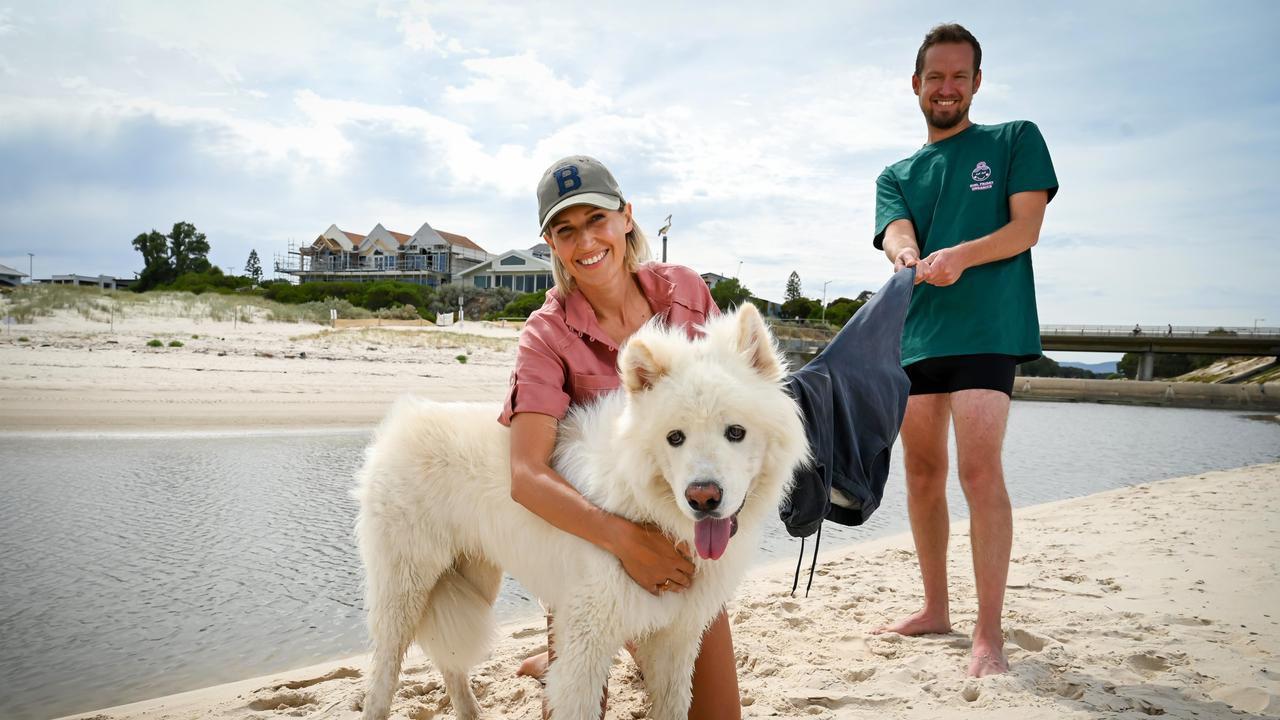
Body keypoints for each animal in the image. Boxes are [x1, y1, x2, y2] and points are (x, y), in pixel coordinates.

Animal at [355, 303, 803, 717]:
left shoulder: (676, 640)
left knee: (450, 664)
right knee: (384, 676)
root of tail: (405, 418)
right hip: (404, 589)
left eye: (735, 432)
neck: (651, 513)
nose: (703, 498)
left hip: (474, 577)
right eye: (675, 437)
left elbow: (673, 706)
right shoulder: (585, 645)